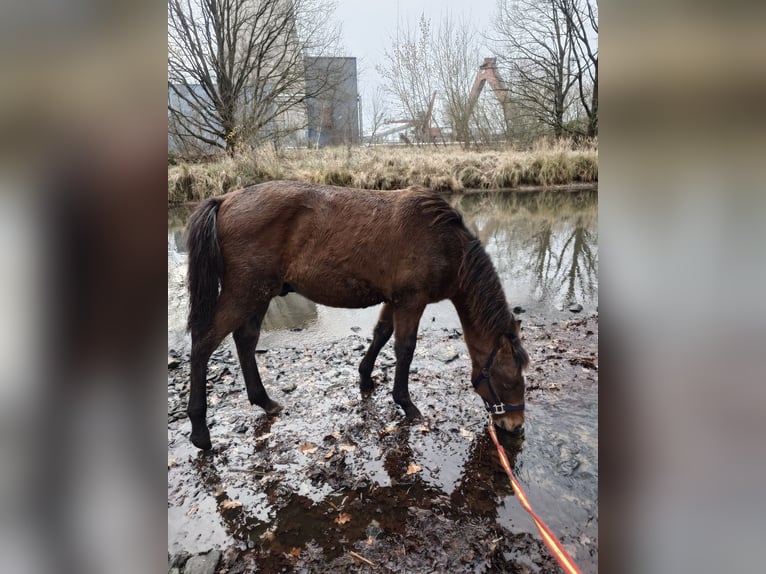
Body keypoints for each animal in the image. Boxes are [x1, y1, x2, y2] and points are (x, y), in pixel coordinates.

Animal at [185, 181, 529, 450]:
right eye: (509, 378)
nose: (515, 425)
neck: (444, 243)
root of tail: (224, 200)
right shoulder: (412, 301)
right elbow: (405, 349)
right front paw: (406, 404)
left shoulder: (394, 300)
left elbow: (381, 334)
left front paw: (365, 377)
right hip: (244, 293)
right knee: (203, 344)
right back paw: (200, 431)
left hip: (261, 294)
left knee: (245, 340)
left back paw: (265, 402)